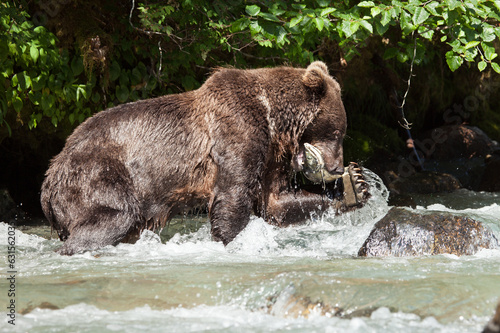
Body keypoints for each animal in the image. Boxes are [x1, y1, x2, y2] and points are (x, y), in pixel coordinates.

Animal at [40, 61, 368, 254]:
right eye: (337, 132)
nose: (336, 167)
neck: (274, 120)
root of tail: (50, 175)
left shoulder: (270, 155)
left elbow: (275, 202)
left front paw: (355, 186)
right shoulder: (238, 131)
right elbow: (233, 196)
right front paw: (228, 240)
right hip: (97, 174)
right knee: (111, 217)